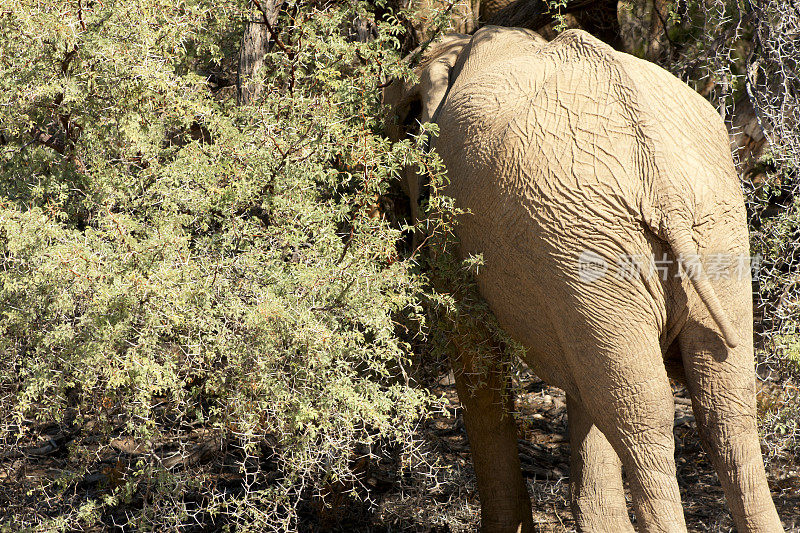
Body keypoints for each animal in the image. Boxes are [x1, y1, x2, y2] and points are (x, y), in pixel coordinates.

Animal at [384, 27, 784, 532]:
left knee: (642, 416)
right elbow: (583, 386)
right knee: (722, 405)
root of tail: (663, 184)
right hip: (709, 230)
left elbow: (476, 359)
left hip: (594, 245)